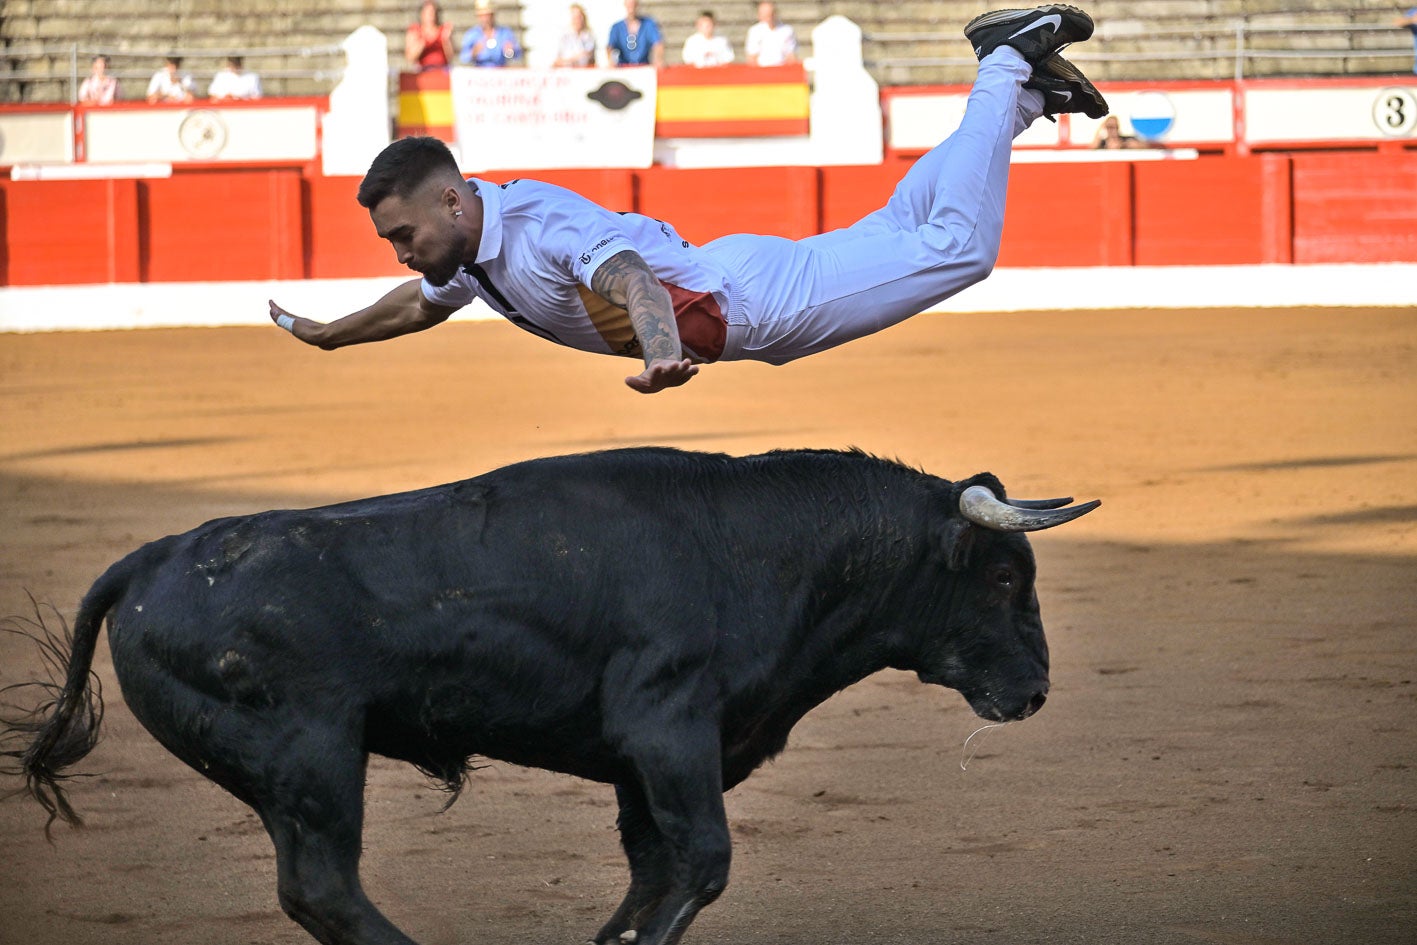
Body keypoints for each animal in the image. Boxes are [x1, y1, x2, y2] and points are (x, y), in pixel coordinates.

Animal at [0, 450, 1093, 945]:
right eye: (1003, 577)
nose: (1036, 691)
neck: (756, 550)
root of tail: (149, 559)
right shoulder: (670, 733)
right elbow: (703, 864)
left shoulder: (639, 763)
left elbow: (653, 870)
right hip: (311, 759)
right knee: (324, 886)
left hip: (289, 773)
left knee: (313, 893)